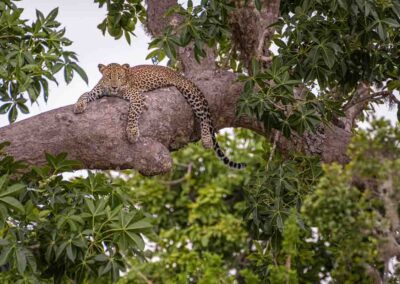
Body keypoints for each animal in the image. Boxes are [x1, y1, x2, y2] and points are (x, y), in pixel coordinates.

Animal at [73, 63, 245, 169]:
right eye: (109, 77)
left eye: (120, 77)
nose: (115, 86)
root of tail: (179, 74)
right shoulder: (97, 91)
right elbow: (84, 94)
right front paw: (78, 106)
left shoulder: (137, 96)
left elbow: (133, 114)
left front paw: (132, 133)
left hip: (191, 93)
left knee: (203, 116)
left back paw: (207, 140)